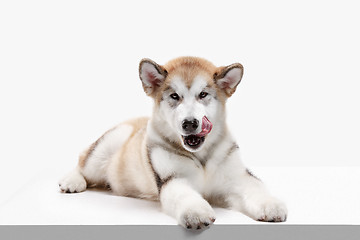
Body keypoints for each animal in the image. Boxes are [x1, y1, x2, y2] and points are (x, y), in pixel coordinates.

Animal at [59, 56, 290, 229]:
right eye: (174, 96)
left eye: (203, 94)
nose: (190, 123)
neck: (201, 157)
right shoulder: (173, 179)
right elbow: (184, 195)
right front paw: (196, 213)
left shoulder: (239, 178)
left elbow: (256, 188)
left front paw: (271, 205)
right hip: (109, 143)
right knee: (82, 161)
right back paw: (71, 181)